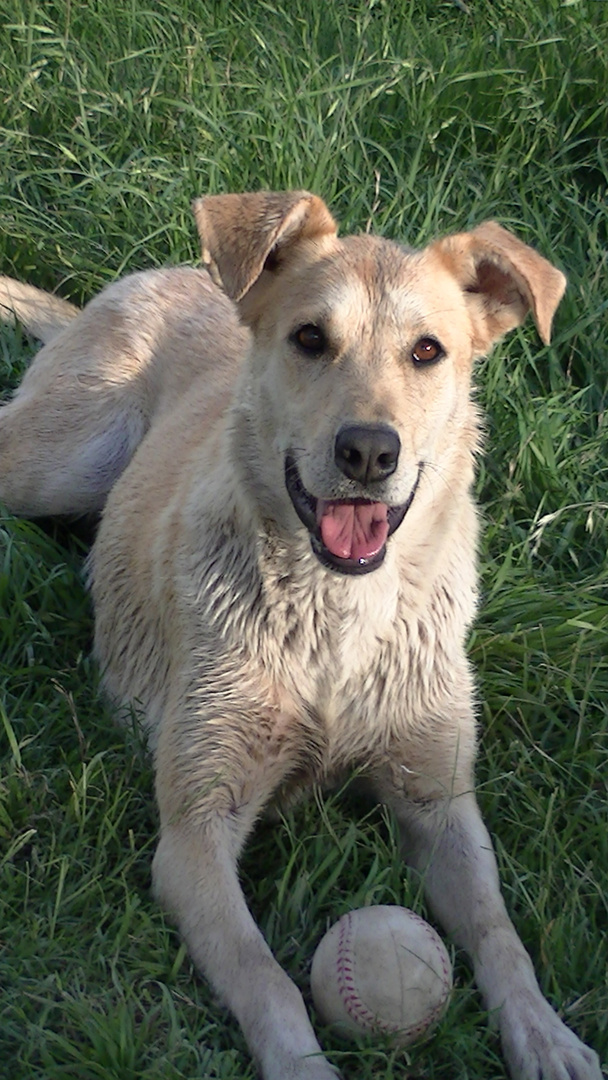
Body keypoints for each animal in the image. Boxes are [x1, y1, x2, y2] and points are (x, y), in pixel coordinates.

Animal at [0, 194, 600, 1080]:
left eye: (428, 351)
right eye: (311, 338)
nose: (369, 451)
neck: (337, 617)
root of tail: (158, 276)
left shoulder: (440, 800)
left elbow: (501, 934)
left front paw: (548, 1038)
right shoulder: (195, 832)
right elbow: (267, 978)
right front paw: (304, 1065)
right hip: (57, 461)